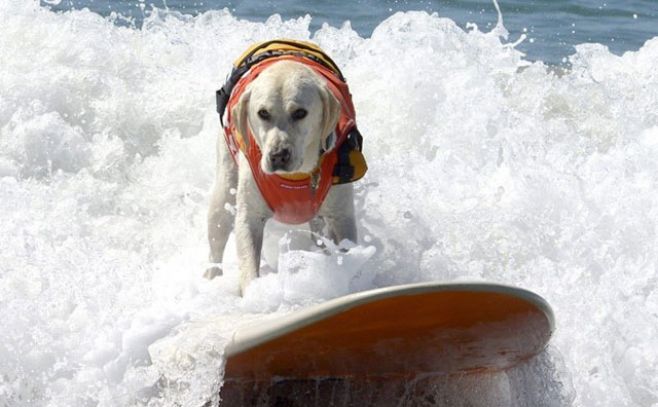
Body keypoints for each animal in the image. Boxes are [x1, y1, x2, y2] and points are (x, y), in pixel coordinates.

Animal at [205, 40, 364, 296]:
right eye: (263, 113)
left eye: (300, 113)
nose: (278, 155)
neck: (296, 176)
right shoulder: (249, 215)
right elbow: (248, 251)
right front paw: (255, 294)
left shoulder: (342, 215)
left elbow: (346, 245)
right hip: (223, 187)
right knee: (217, 234)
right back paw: (211, 278)